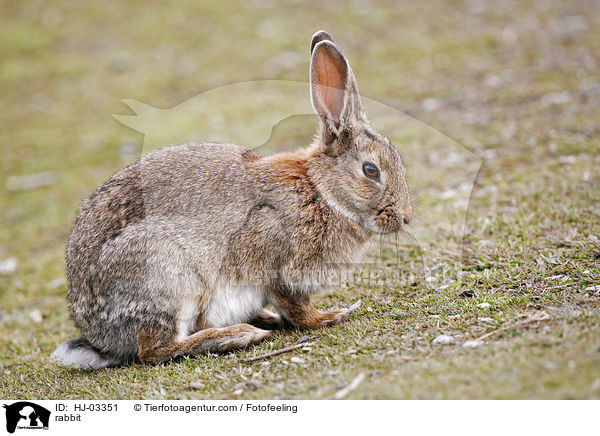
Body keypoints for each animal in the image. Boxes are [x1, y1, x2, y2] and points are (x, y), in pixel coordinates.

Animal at [51, 30, 412, 370]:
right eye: (370, 170)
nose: (404, 217)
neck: (320, 191)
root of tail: (99, 335)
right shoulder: (273, 255)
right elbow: (296, 305)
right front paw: (330, 317)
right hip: (171, 277)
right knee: (154, 350)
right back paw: (236, 335)